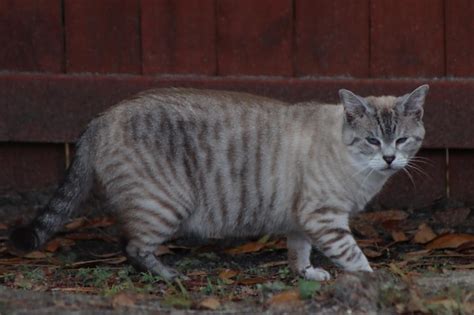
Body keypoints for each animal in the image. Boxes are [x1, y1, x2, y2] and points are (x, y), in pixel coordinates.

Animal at [8, 84, 430, 282]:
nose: (390, 159)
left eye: (401, 140)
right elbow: (354, 256)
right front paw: (374, 280)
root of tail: (102, 116)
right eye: (373, 140)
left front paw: (306, 274)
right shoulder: (323, 216)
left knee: (128, 244)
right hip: (165, 205)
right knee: (132, 247)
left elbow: (299, 252)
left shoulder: (302, 218)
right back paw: (171, 276)